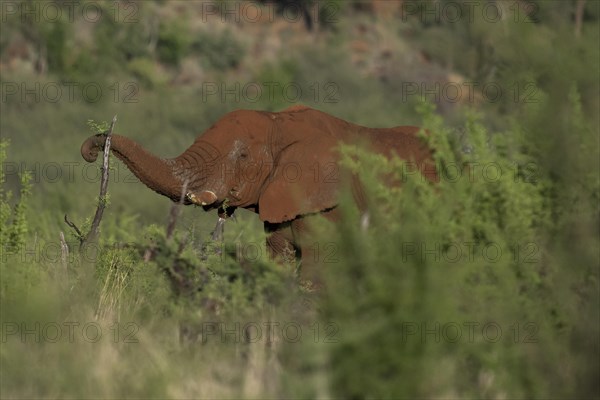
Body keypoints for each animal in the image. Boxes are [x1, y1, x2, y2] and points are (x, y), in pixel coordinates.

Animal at [81, 104, 436, 282]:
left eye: (242, 156)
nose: (91, 150)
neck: (280, 121)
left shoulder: (327, 205)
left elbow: (318, 268)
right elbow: (279, 259)